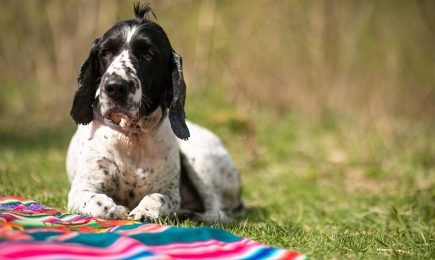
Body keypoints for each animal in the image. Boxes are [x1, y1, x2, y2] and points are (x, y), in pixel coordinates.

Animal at [67, 3, 245, 223]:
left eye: (148, 55)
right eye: (105, 52)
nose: (115, 86)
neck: (132, 136)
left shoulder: (170, 194)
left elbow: (156, 198)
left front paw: (145, 211)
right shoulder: (80, 190)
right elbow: (98, 203)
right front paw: (117, 209)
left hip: (200, 160)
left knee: (219, 212)